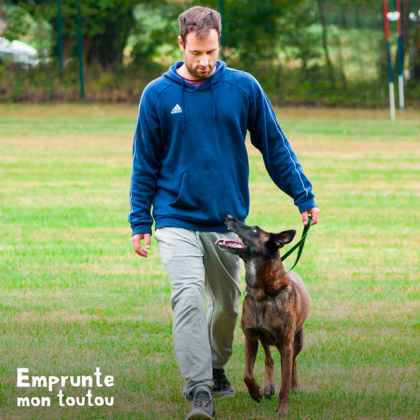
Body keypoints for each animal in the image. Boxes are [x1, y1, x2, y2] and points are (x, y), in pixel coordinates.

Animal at [217, 217, 312, 416]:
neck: (263, 295)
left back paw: (295, 386)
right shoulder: (251, 338)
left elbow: (285, 382)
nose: (228, 216)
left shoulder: (286, 345)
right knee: (269, 360)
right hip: (264, 339)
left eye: (254, 230)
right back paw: (268, 388)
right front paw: (256, 392)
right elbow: (247, 374)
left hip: (297, 342)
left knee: (293, 363)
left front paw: (282, 410)